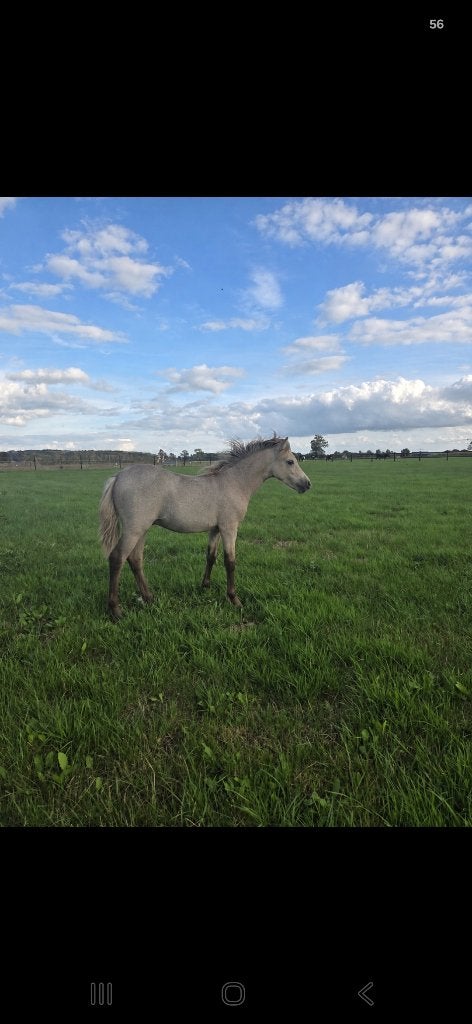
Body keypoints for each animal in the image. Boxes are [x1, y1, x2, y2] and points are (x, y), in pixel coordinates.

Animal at [99, 435, 311, 619]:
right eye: (290, 462)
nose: (307, 484)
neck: (234, 483)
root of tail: (118, 476)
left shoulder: (215, 529)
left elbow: (211, 556)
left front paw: (205, 586)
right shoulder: (229, 528)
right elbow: (230, 562)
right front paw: (234, 599)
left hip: (142, 530)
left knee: (135, 559)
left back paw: (149, 598)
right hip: (134, 530)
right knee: (117, 558)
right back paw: (116, 610)